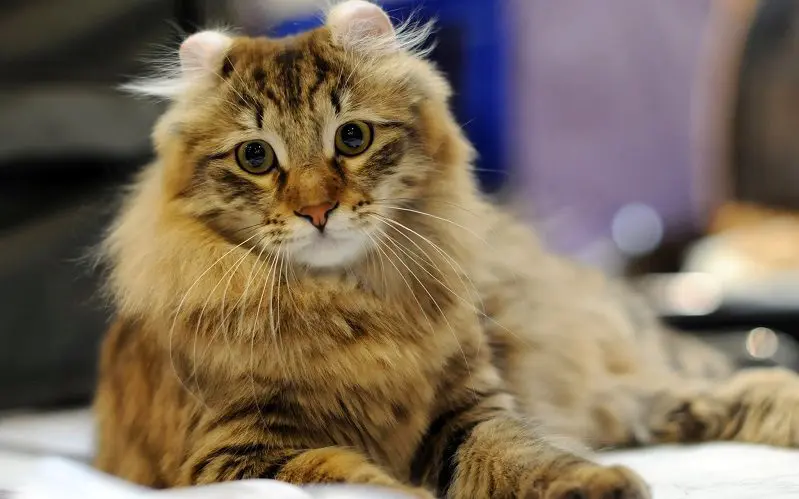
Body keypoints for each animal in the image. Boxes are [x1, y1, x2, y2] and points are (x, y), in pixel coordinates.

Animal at [92, 1, 799, 498]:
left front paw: (590, 483)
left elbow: (520, 454)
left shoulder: (469, 412)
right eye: (256, 157)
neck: (350, 309)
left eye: (352, 138)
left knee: (724, 378)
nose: (316, 211)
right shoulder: (231, 455)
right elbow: (351, 478)